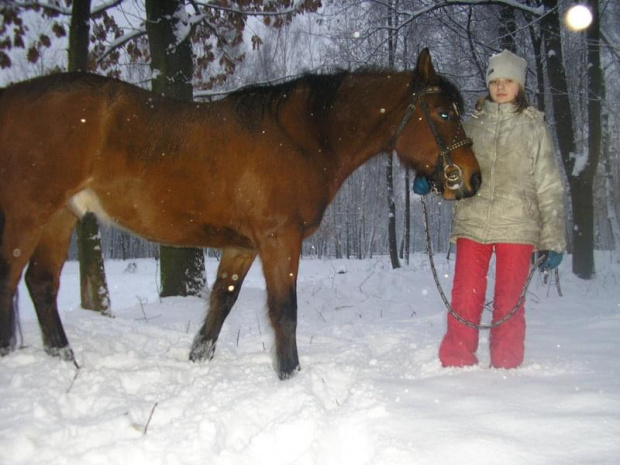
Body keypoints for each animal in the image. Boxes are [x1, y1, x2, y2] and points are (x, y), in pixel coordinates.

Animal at [0, 49, 480, 378]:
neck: (303, 137)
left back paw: (66, 363)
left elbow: (220, 305)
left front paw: (197, 363)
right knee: (11, 279)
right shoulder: (279, 238)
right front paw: (290, 376)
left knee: (41, 284)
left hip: (60, 216)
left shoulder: (242, 247)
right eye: (443, 112)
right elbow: (284, 310)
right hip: (29, 213)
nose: (472, 179)